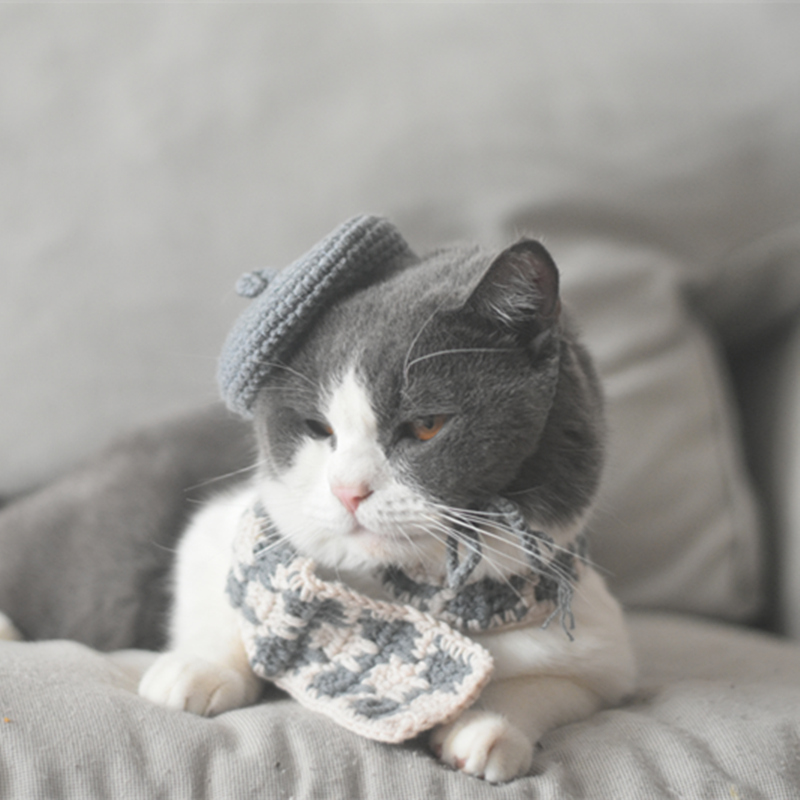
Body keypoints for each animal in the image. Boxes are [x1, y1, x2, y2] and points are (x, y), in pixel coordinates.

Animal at [139, 231, 636, 780]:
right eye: (318, 428)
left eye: (427, 425)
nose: (348, 490)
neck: (405, 590)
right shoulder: (223, 527)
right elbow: (232, 588)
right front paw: (199, 669)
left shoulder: (601, 649)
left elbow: (552, 684)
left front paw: (485, 729)